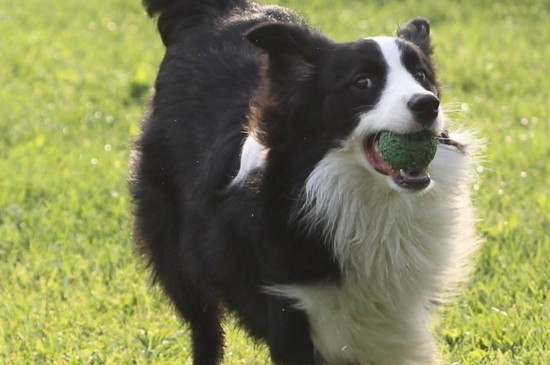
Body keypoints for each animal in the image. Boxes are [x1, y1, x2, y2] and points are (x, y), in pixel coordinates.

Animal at [132, 0, 480, 364]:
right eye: (363, 82)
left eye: (422, 76)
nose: (427, 104)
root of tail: (217, 12)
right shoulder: (288, 305)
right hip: (174, 246)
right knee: (204, 323)